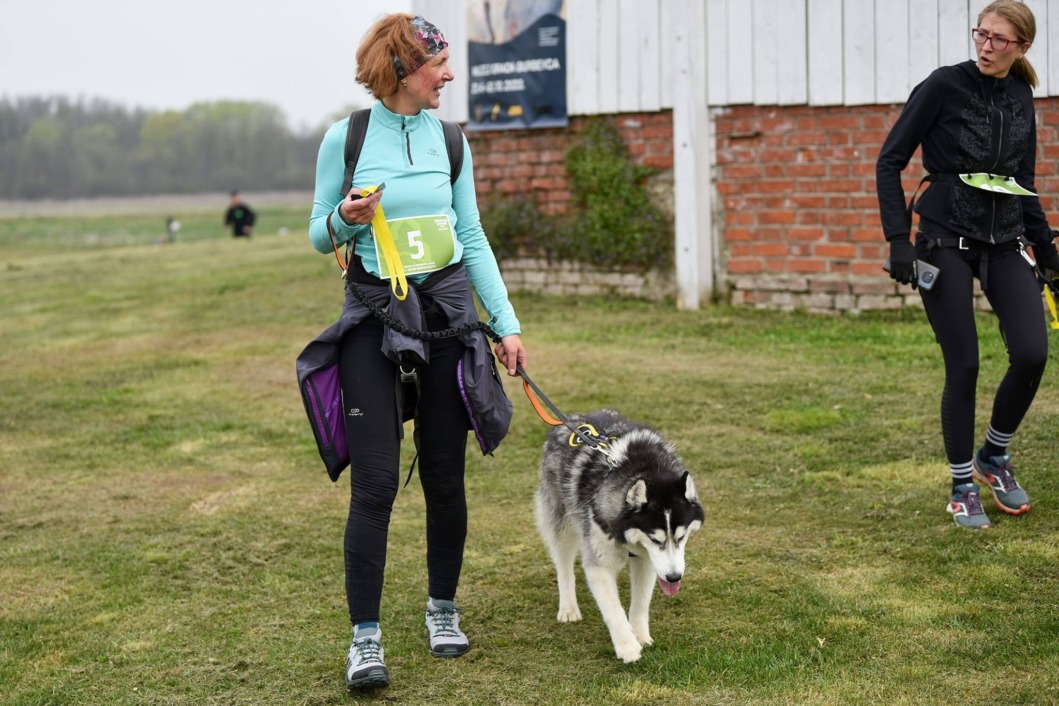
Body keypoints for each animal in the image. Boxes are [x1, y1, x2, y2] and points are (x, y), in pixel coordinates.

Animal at [537, 408, 703, 664]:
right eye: (655, 539)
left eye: (682, 536)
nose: (674, 577)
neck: (646, 467)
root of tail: (574, 417)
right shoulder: (600, 565)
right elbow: (613, 610)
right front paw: (627, 646)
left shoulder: (649, 561)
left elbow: (641, 602)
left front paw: (641, 635)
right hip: (560, 523)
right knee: (564, 567)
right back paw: (568, 608)